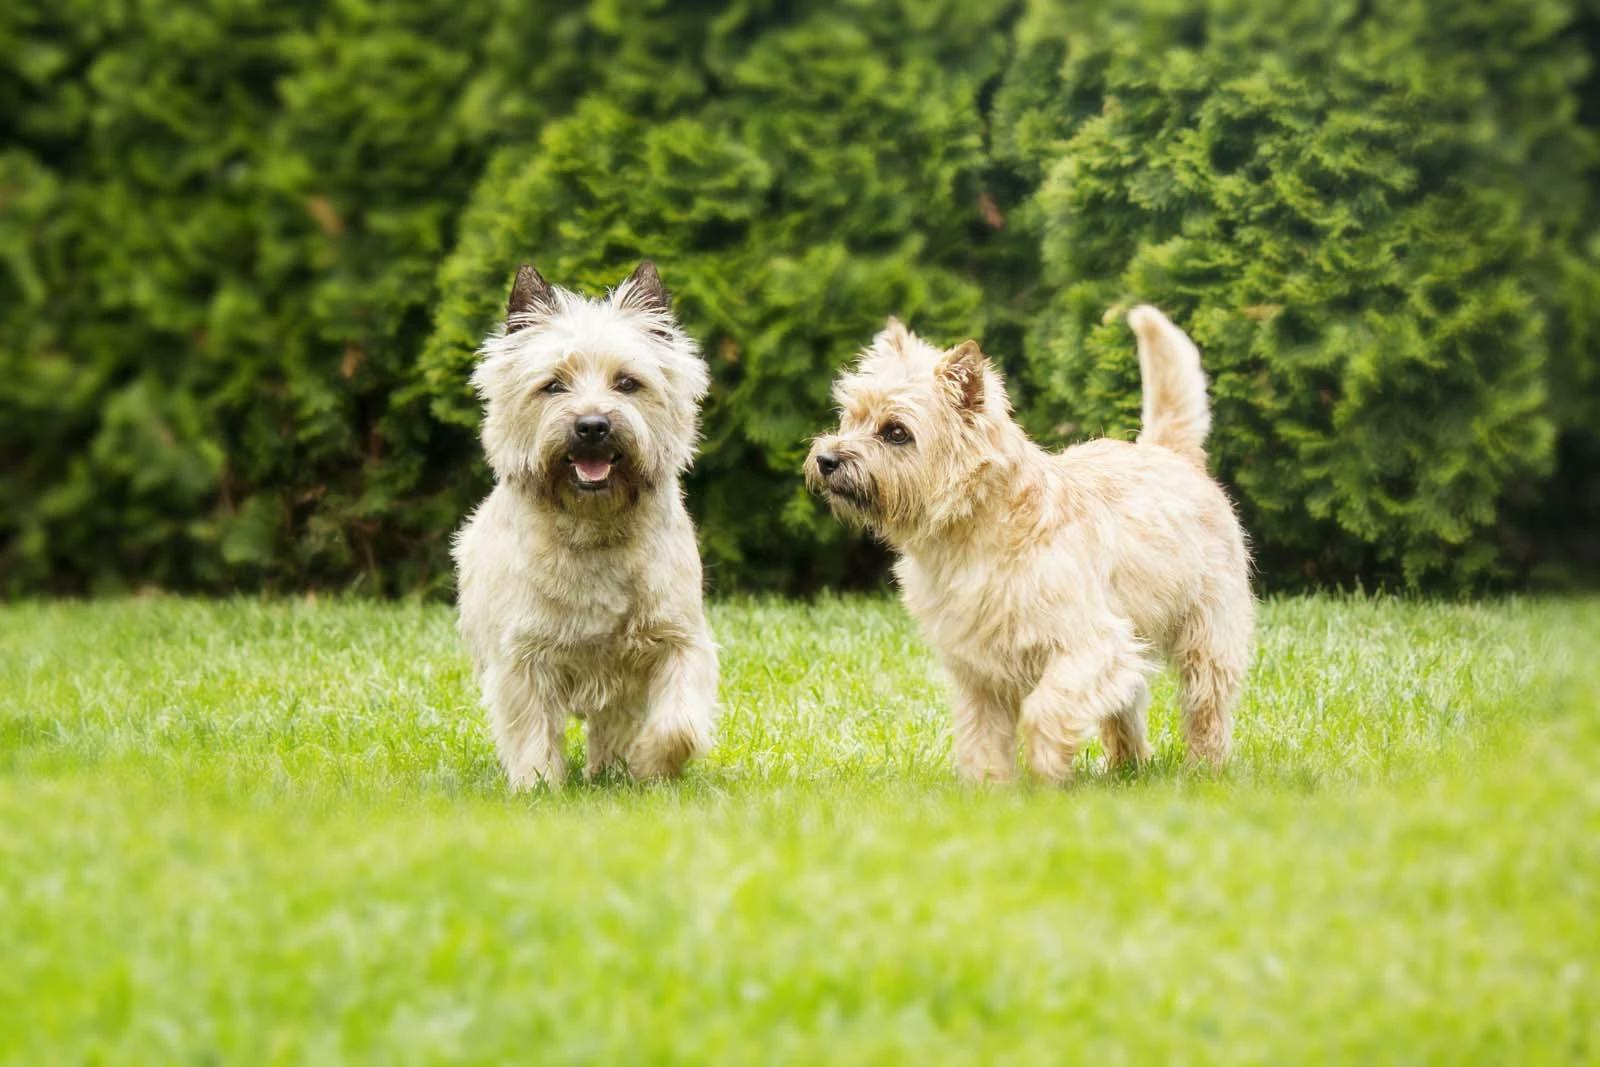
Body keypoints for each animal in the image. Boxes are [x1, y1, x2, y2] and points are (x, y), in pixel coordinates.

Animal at [457, 262, 720, 790]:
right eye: (553, 385)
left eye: (628, 383)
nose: (593, 426)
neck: (593, 524)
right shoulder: (524, 655)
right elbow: (532, 727)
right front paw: (538, 785)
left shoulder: (678, 639)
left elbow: (679, 723)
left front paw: (648, 765)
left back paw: (613, 769)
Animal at [806, 308, 1254, 783]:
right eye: (851, 418)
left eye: (895, 432)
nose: (826, 460)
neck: (975, 533)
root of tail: (1171, 452)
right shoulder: (978, 672)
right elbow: (981, 737)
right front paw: (990, 790)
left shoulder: (1092, 645)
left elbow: (1045, 709)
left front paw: (1046, 769)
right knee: (1125, 708)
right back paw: (1124, 769)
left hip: (1207, 634)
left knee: (1206, 706)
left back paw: (1204, 768)